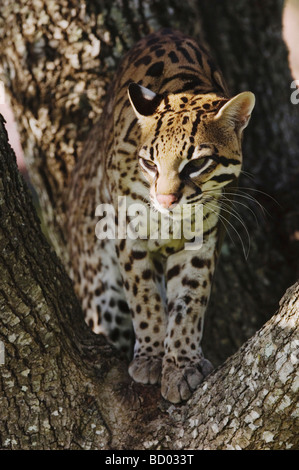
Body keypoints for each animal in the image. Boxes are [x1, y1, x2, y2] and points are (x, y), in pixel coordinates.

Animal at [67, 30, 255, 404]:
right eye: (150, 163)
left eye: (197, 163)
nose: (166, 199)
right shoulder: (127, 230)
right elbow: (145, 295)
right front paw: (152, 357)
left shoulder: (203, 236)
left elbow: (189, 299)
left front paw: (181, 363)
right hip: (100, 292)